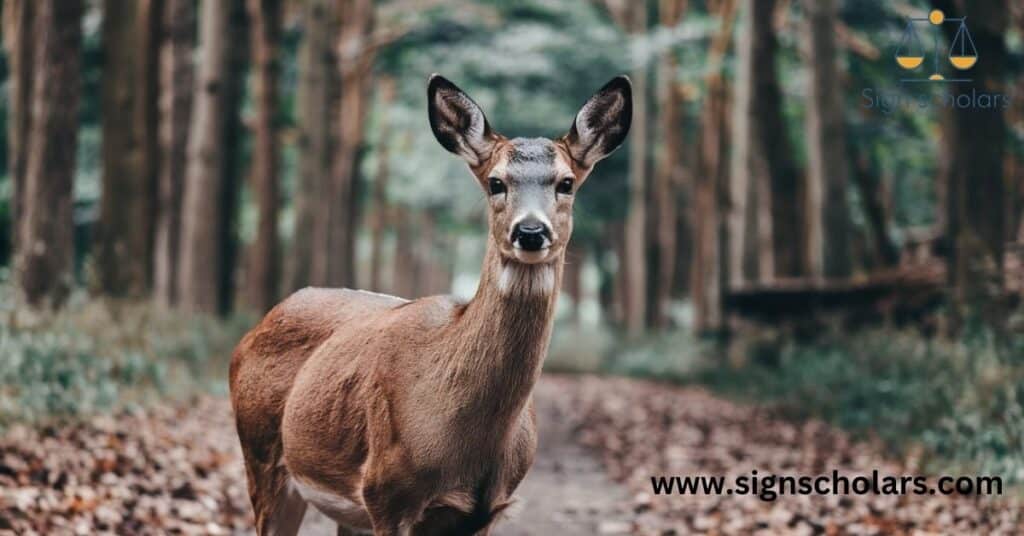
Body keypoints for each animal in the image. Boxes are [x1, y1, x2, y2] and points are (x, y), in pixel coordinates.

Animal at [232, 72, 630, 536]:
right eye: (496, 182)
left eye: (566, 182)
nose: (530, 232)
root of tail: (252, 332)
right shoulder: (386, 493)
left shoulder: (486, 511)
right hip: (261, 455)